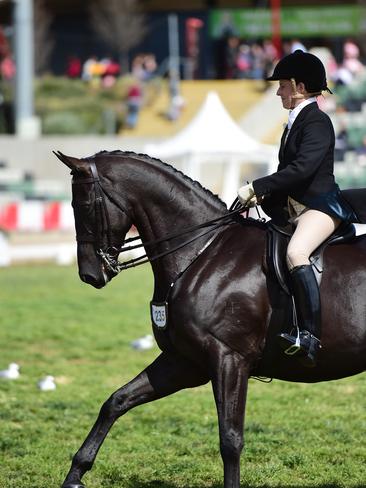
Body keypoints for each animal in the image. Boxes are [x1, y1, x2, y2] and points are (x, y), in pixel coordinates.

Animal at [54, 150, 366, 488]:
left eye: (83, 205)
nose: (90, 274)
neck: (200, 251)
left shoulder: (229, 359)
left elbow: (230, 439)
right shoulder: (185, 361)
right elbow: (116, 401)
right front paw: (75, 475)